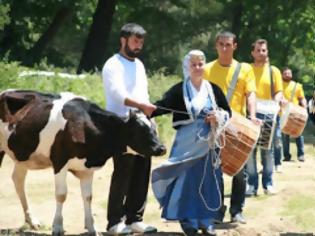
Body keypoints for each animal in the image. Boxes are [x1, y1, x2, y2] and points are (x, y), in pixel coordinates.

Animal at [0, 89, 168, 235]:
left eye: (154, 129)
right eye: (139, 130)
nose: (162, 148)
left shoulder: (87, 169)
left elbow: (88, 197)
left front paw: (92, 228)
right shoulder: (60, 161)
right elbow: (61, 195)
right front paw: (58, 227)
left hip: (22, 154)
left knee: (18, 180)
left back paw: (32, 221)